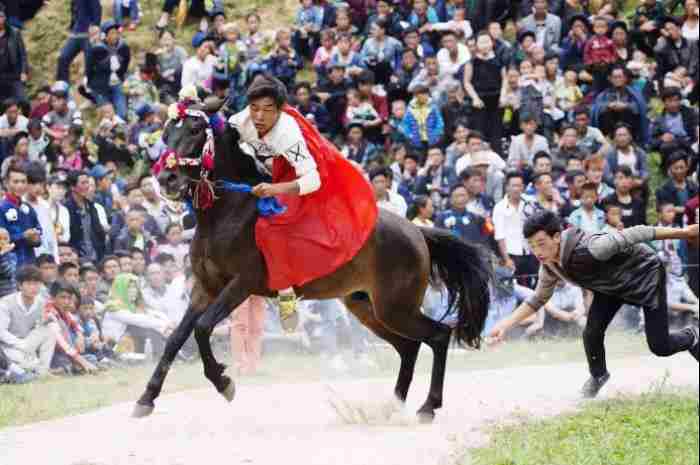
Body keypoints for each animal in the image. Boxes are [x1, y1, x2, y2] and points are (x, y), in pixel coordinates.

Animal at [133, 99, 492, 422]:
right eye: (166, 133)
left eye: (195, 130)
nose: (167, 179)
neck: (229, 213)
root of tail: (417, 232)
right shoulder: (204, 288)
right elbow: (175, 339)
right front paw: (146, 398)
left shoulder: (242, 284)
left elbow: (203, 328)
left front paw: (224, 382)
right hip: (367, 306)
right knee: (409, 347)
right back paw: (393, 405)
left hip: (395, 307)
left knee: (438, 336)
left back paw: (427, 406)